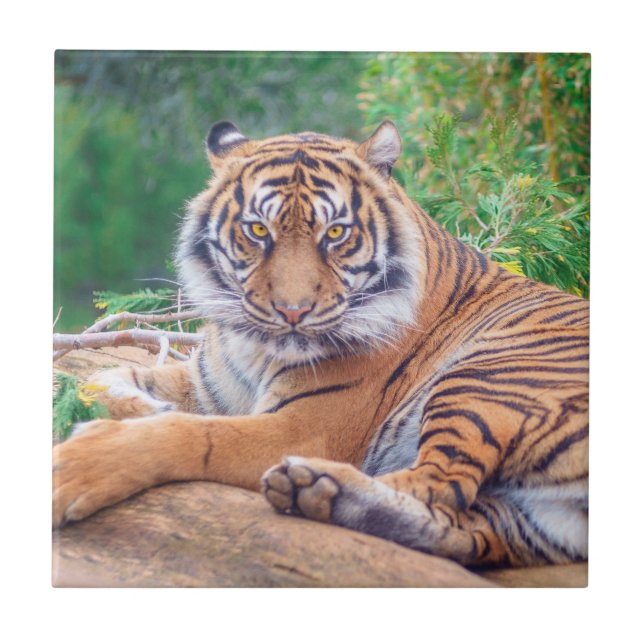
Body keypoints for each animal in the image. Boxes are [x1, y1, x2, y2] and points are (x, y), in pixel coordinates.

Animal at [52, 119, 589, 569]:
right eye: (258, 230)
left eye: (335, 233)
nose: (292, 312)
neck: (255, 348)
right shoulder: (207, 386)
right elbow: (107, 377)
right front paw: (140, 406)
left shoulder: (301, 427)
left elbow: (193, 434)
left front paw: (76, 467)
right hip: (533, 516)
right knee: (464, 528)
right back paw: (321, 493)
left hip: (486, 379)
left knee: (440, 484)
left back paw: (317, 481)